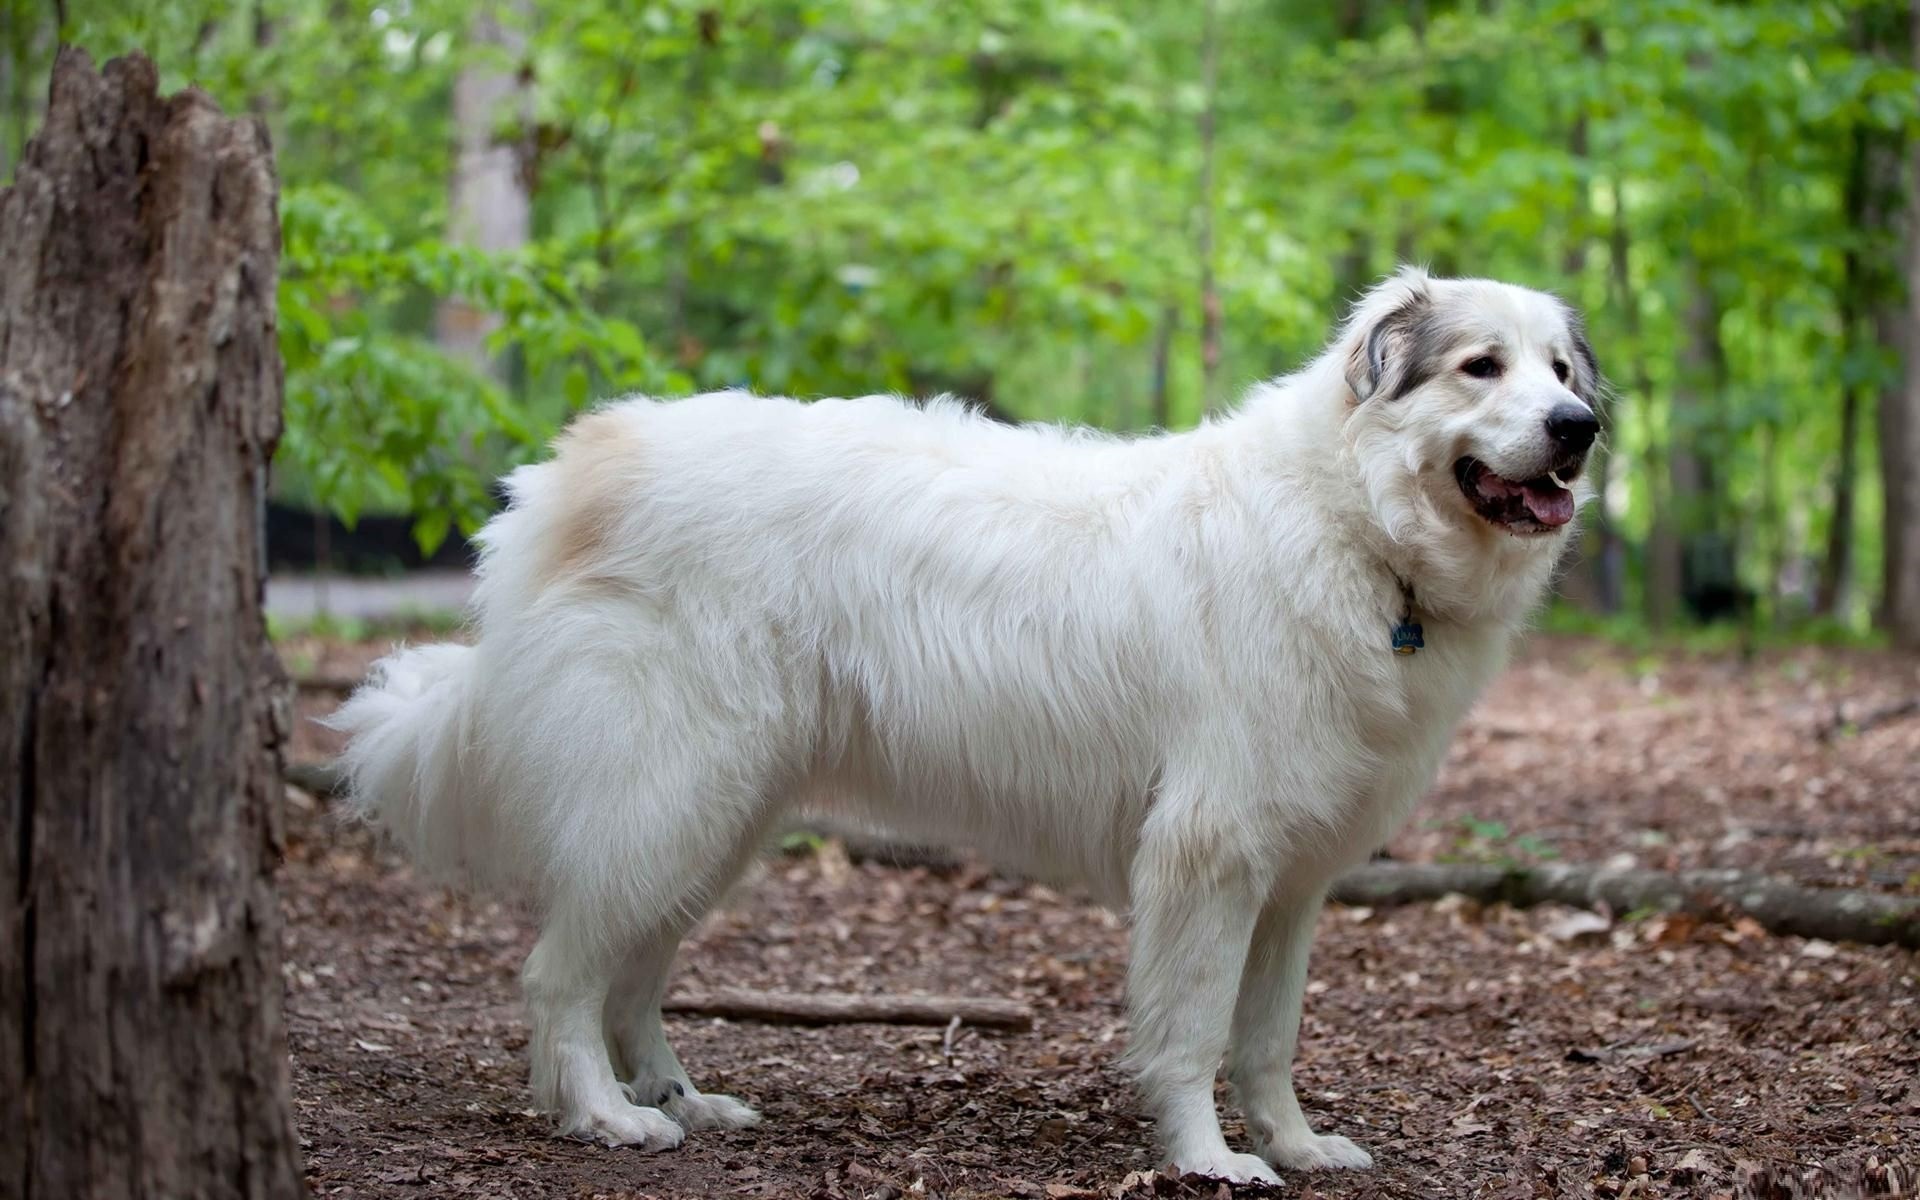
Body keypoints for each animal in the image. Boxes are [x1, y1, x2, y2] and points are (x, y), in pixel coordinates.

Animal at [334, 268, 1605, 1182]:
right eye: (1481, 367)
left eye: (1559, 368)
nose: (1581, 426)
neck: (1356, 528)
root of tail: (571, 469)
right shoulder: (1210, 856)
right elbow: (1195, 1033)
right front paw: (1210, 1162)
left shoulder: (1289, 883)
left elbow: (1269, 1039)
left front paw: (1294, 1146)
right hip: (669, 796)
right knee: (560, 976)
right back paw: (606, 1116)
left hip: (715, 818)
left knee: (632, 975)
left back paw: (682, 1099)